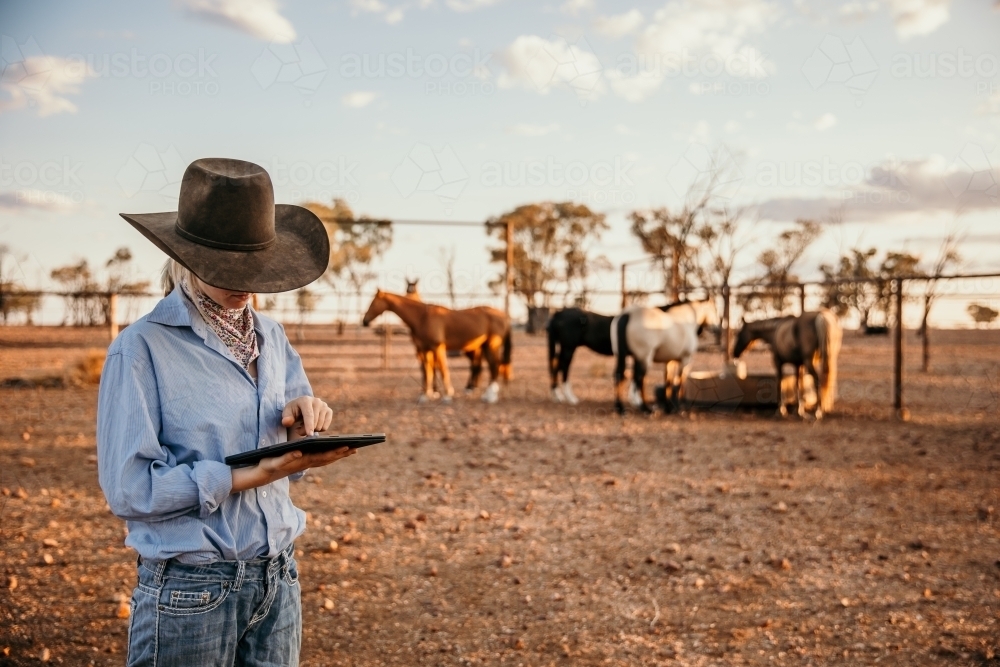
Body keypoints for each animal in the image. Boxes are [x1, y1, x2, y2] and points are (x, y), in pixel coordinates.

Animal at [362, 290, 516, 402]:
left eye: (373, 303)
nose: (365, 321)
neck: (422, 317)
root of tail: (504, 316)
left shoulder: (438, 348)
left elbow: (442, 370)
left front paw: (447, 395)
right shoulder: (425, 350)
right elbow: (428, 372)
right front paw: (426, 395)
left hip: (490, 345)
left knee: (494, 366)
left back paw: (490, 397)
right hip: (484, 347)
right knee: (491, 366)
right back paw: (485, 394)